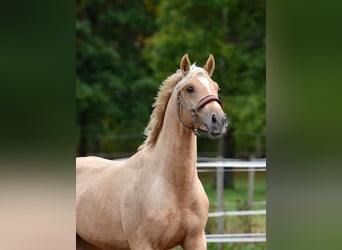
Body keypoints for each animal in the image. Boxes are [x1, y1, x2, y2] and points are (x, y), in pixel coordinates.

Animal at [76, 53, 228, 249]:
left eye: (216, 87)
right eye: (190, 88)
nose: (219, 120)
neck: (175, 186)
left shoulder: (196, 240)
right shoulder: (143, 243)